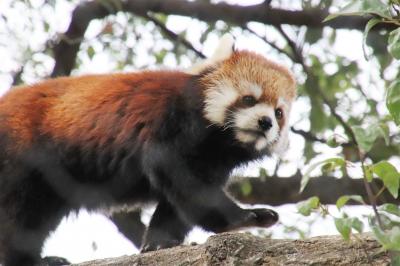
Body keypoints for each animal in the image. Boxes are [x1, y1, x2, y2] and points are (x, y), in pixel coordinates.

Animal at [0, 35, 294, 266]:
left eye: (279, 113)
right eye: (249, 99)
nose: (266, 122)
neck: (220, 142)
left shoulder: (215, 162)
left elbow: (177, 202)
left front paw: (160, 243)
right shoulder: (171, 123)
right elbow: (182, 180)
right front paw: (242, 218)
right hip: (24, 154)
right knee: (21, 214)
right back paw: (28, 259)